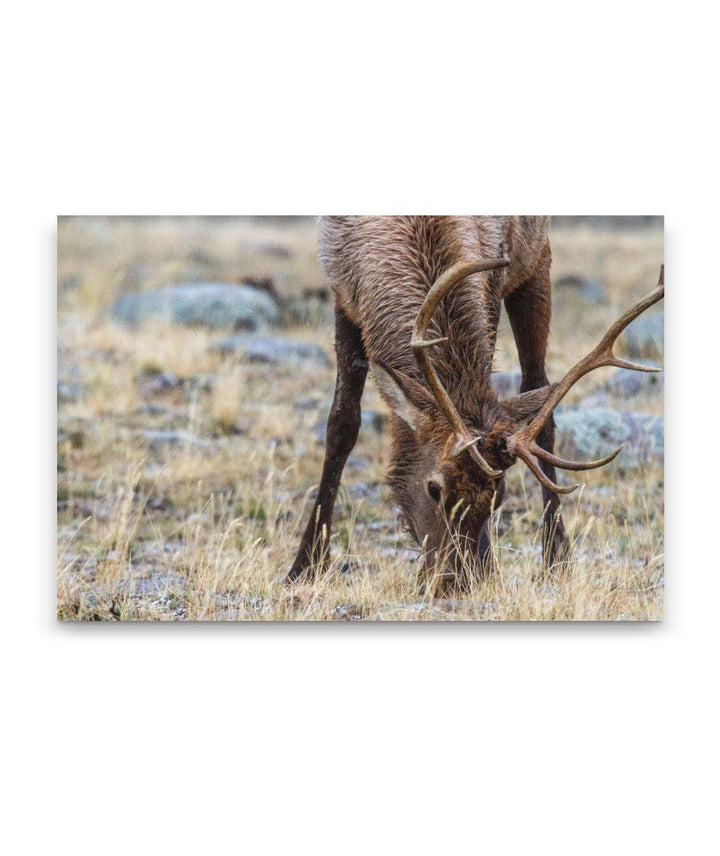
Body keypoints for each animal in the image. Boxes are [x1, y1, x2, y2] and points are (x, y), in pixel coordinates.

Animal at [286, 217, 664, 596]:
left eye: (499, 497)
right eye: (434, 488)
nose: (453, 584)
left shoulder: (494, 280)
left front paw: (488, 566)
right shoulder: (343, 292)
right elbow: (342, 423)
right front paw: (305, 566)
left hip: (537, 261)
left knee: (540, 396)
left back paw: (557, 558)